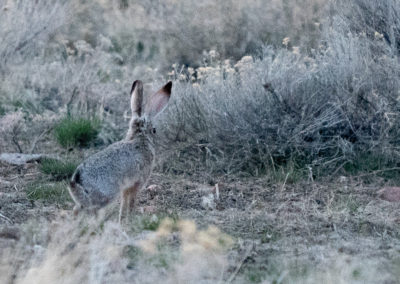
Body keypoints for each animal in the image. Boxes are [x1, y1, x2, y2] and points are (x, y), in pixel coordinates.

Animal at [69, 80, 172, 222]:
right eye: (154, 130)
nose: (156, 135)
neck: (139, 138)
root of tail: (77, 182)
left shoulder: (126, 189)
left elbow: (124, 205)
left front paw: (122, 220)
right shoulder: (136, 184)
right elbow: (131, 203)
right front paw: (130, 219)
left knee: (77, 210)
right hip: (107, 195)